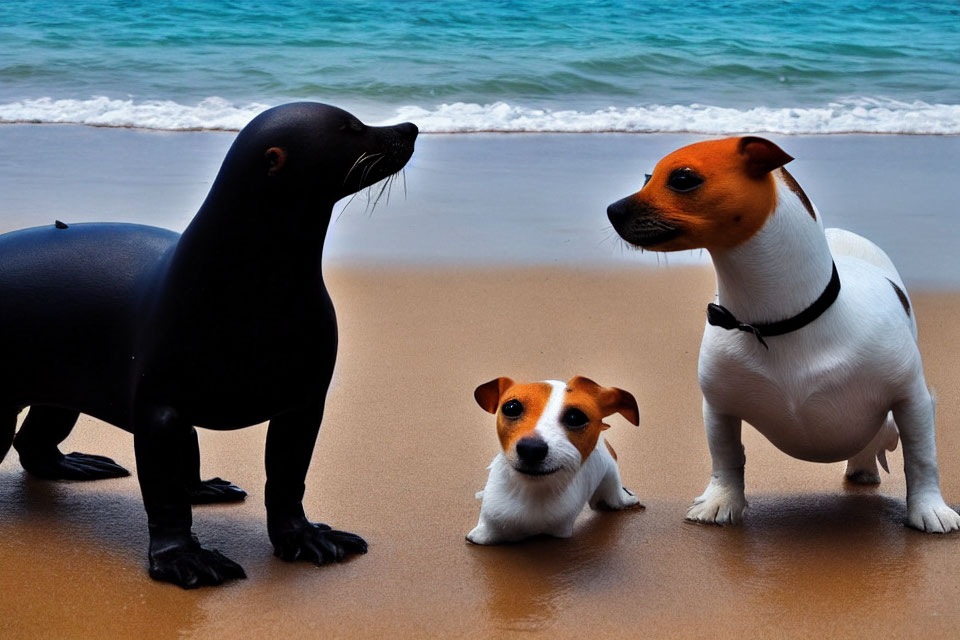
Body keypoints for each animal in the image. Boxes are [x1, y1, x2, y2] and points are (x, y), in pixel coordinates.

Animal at [466, 378, 640, 544]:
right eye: (511, 407)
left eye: (575, 417)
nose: (531, 448)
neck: (532, 494)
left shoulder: (560, 529)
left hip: (610, 484)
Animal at [608, 138, 960, 532]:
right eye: (647, 177)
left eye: (683, 179)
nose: (611, 210)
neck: (779, 324)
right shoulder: (718, 406)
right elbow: (726, 457)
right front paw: (720, 501)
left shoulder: (911, 399)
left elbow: (921, 458)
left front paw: (929, 509)